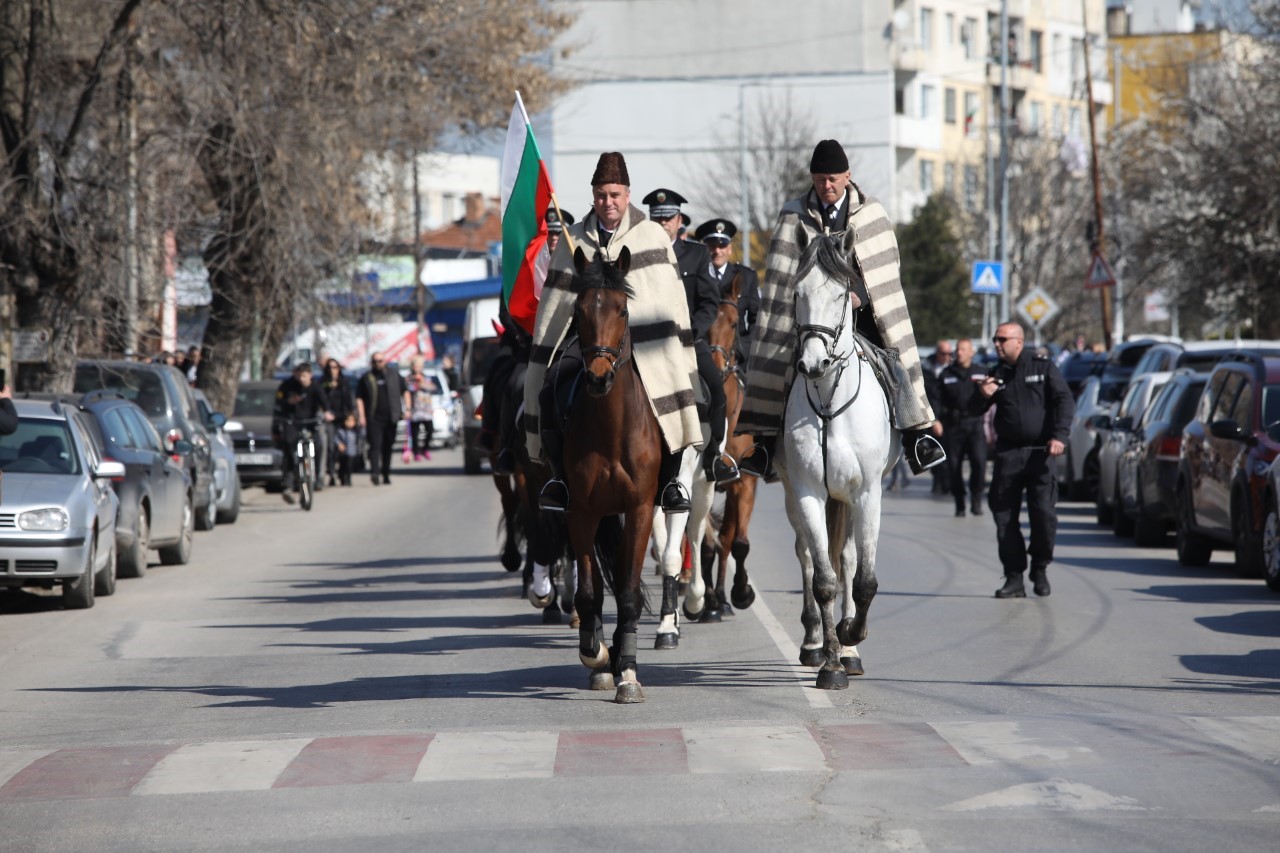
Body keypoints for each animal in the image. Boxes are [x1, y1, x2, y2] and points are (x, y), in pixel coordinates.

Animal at [768, 229, 901, 686]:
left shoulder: (868, 494)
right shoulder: (808, 491)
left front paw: (849, 637)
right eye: (797, 294)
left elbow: (864, 580)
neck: (830, 401)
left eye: (842, 293)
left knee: (847, 558)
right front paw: (828, 662)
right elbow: (824, 580)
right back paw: (815, 643)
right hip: (797, 497)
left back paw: (850, 648)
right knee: (809, 556)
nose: (813, 363)